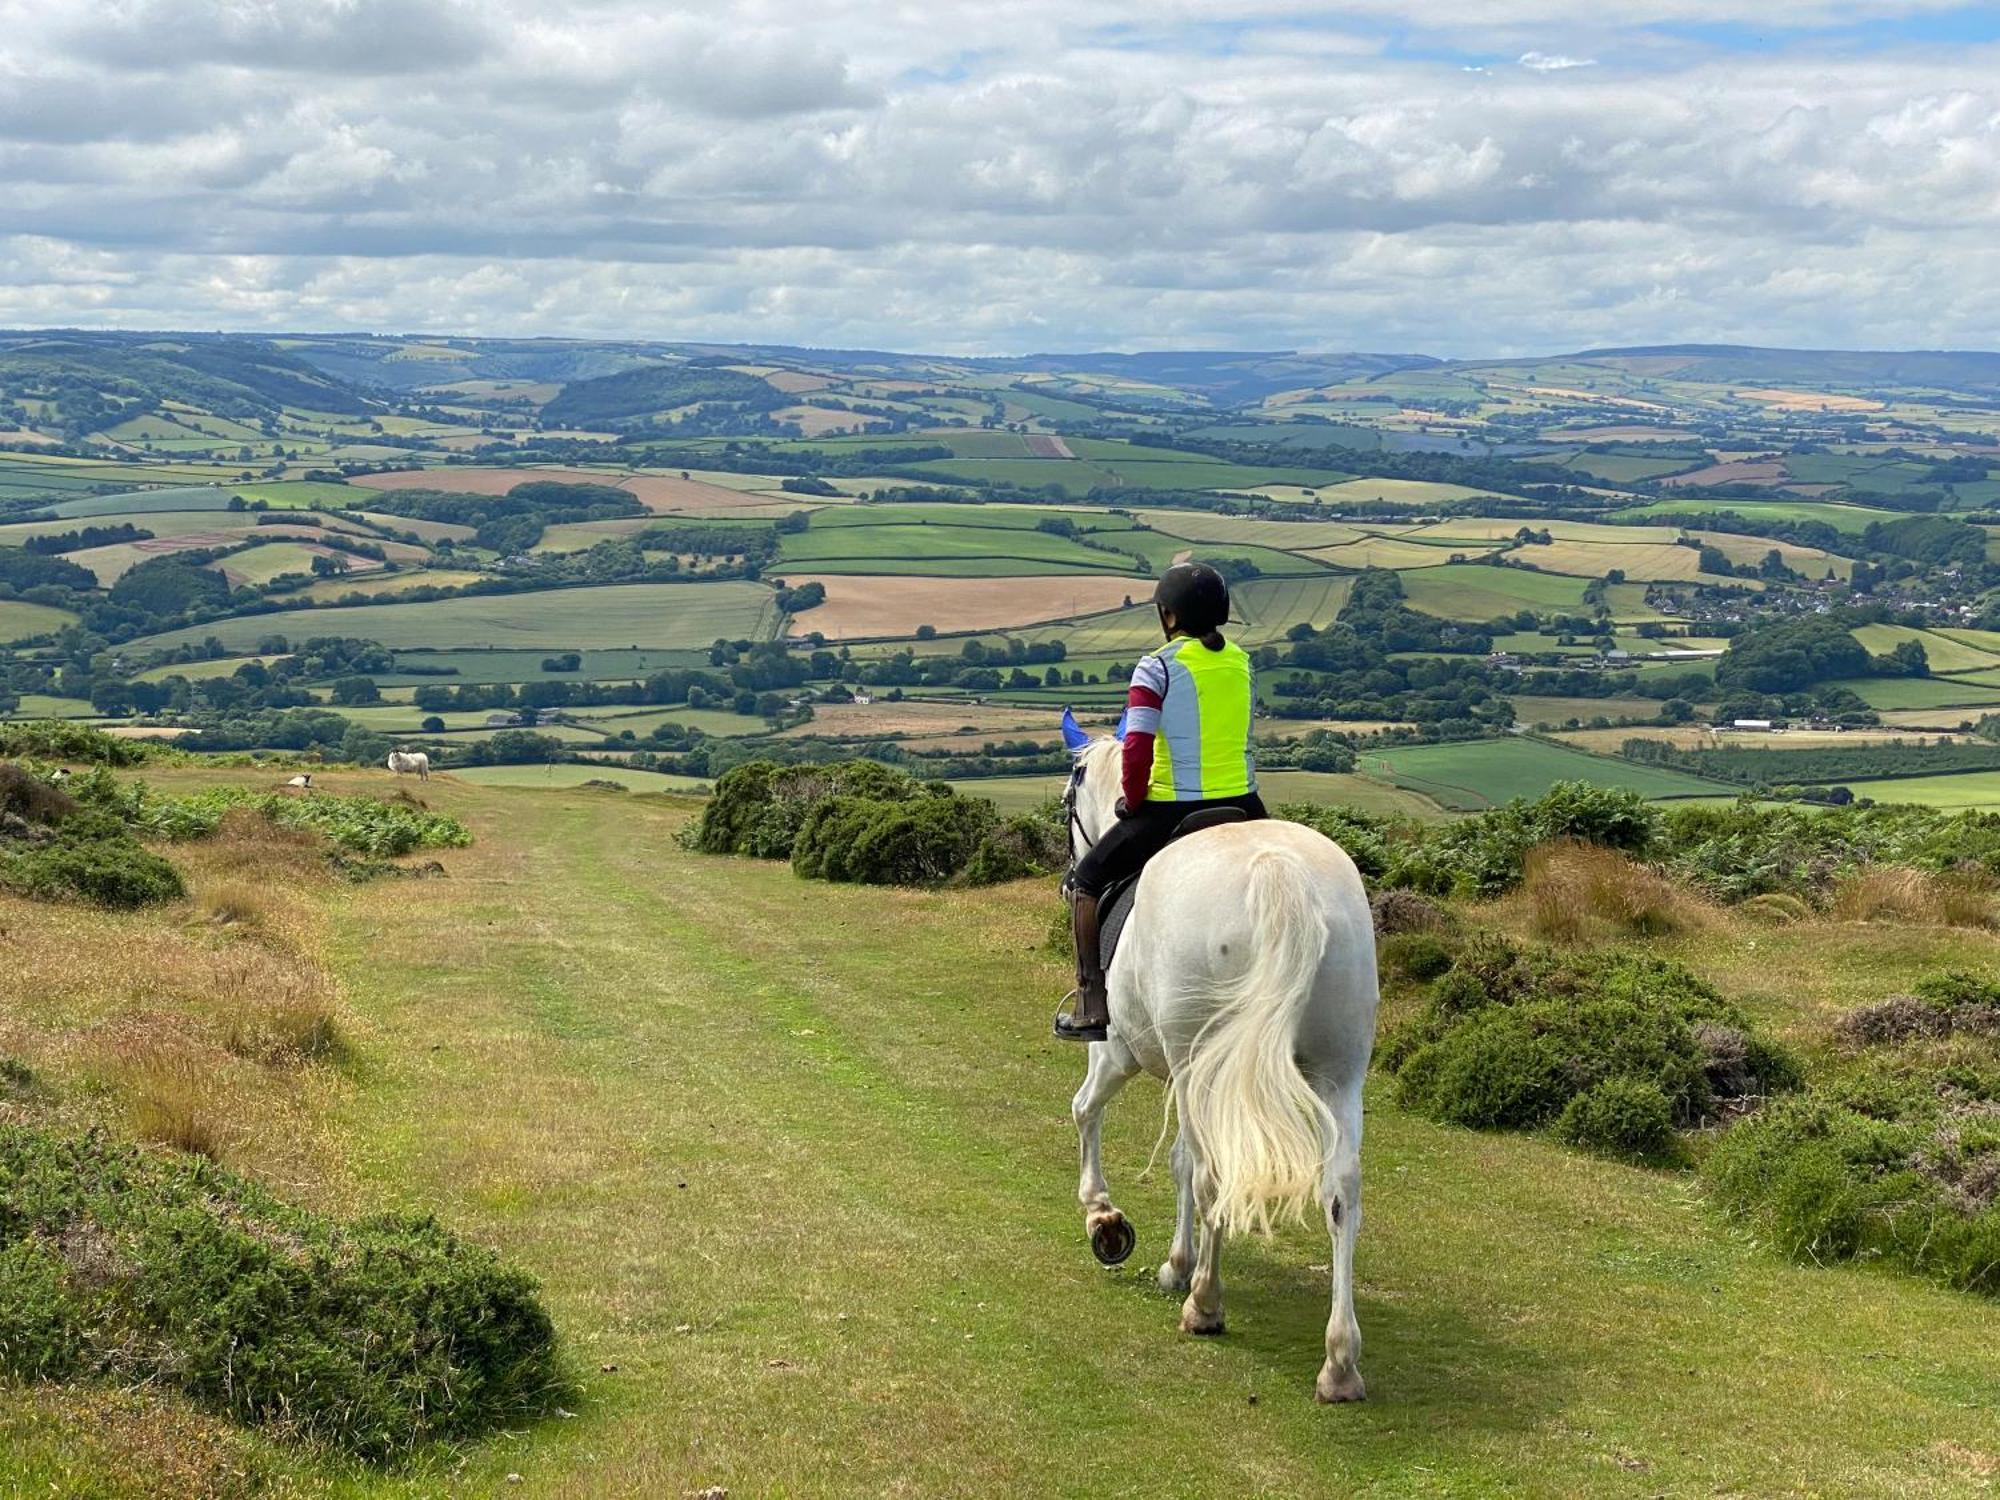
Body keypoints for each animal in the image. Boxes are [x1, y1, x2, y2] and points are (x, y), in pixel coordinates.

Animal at [1072, 736, 1384, 1408]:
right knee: (1340, 1189)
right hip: (1339, 1072)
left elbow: (1091, 1113)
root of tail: (1279, 871)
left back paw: (1205, 1305)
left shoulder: (1117, 1051)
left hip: (1200, 1064)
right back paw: (1340, 1363)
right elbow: (1180, 1162)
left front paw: (1107, 1220)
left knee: (1214, 1172)